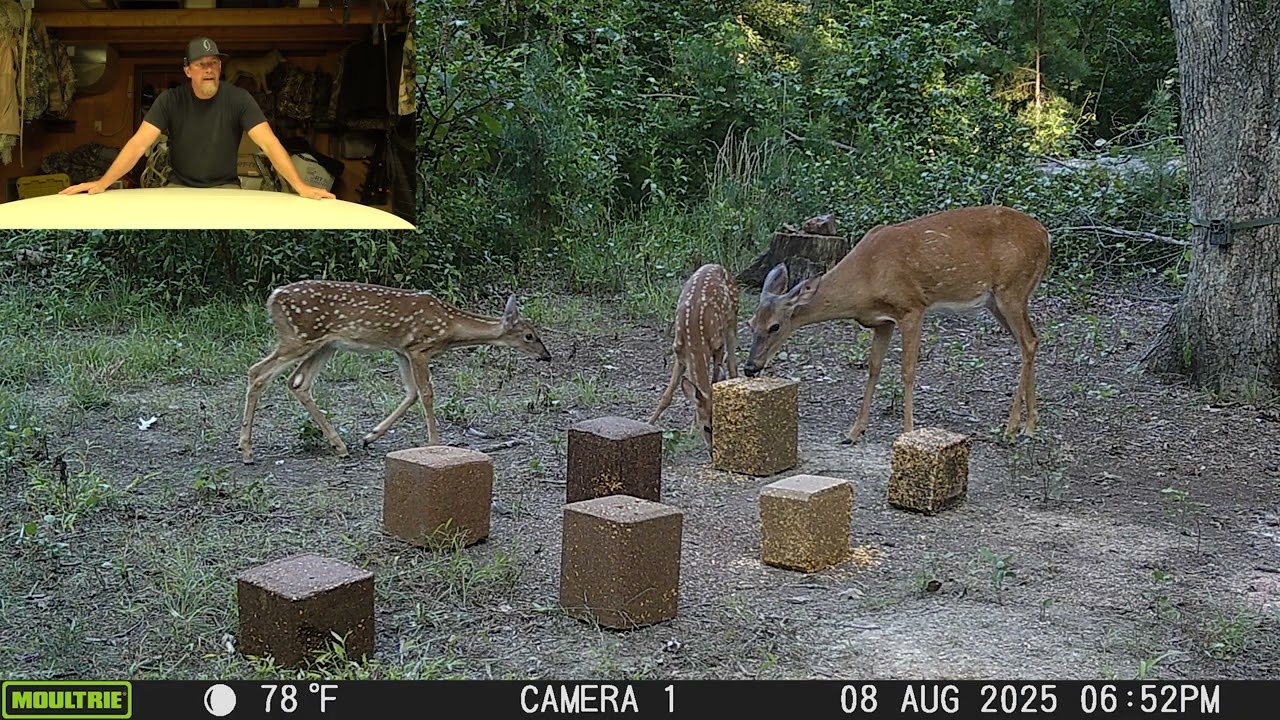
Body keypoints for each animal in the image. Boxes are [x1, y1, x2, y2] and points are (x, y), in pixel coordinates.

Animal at [238, 279, 552, 464]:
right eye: (529, 336)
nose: (546, 356)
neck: (450, 328)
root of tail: (273, 297)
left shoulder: (401, 350)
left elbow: (411, 393)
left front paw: (370, 436)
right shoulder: (418, 347)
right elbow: (426, 393)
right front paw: (435, 444)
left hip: (325, 344)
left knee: (298, 382)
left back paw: (340, 446)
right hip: (300, 337)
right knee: (257, 371)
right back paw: (247, 451)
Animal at [647, 263, 741, 446]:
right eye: (707, 428)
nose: (712, 451)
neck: (696, 340)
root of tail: (717, 265)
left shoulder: (718, 345)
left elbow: (713, 382)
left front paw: (692, 427)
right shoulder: (679, 353)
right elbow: (667, 396)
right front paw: (649, 422)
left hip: (732, 317)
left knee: (732, 364)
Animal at [742, 204, 1050, 444]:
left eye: (775, 326)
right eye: (750, 322)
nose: (750, 367)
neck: (865, 279)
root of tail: (1045, 236)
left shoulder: (911, 307)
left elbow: (908, 371)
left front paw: (908, 431)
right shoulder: (882, 321)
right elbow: (874, 368)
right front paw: (853, 432)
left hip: (1012, 289)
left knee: (1028, 341)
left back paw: (1011, 429)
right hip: (997, 301)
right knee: (1032, 341)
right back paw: (1029, 427)